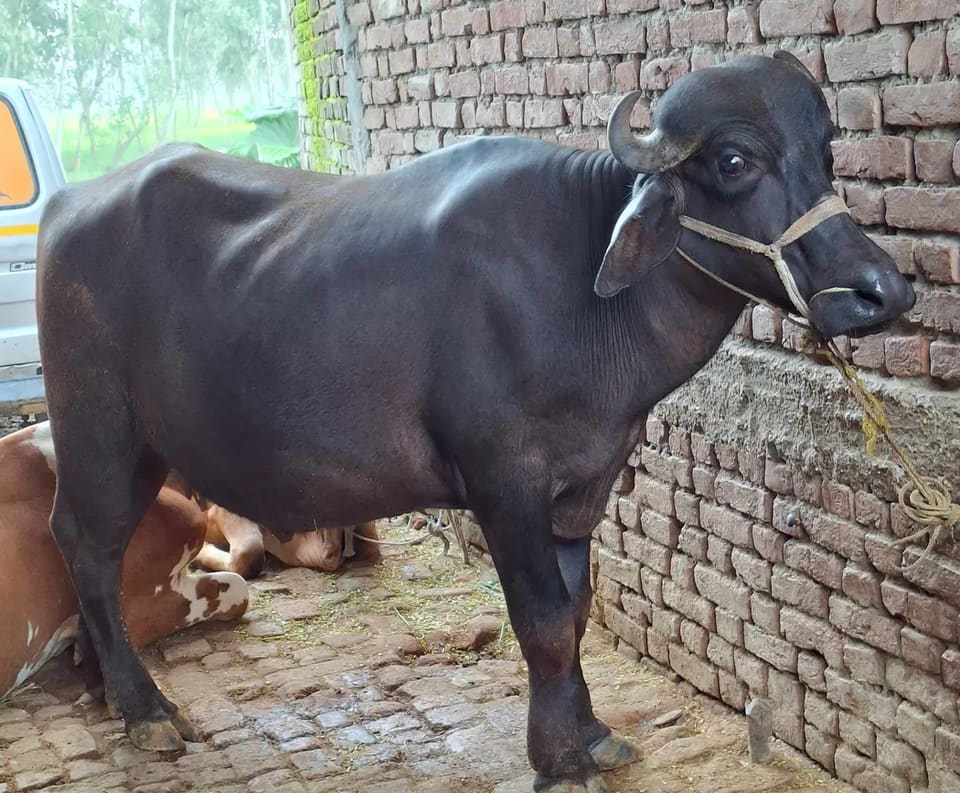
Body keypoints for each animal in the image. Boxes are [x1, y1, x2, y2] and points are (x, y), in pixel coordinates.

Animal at [36, 54, 914, 792]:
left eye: (826, 152)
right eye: (735, 161)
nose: (880, 290)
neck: (583, 292)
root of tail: (69, 207)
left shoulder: (582, 485)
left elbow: (576, 608)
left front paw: (590, 734)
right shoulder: (504, 484)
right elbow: (544, 620)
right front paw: (560, 760)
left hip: (142, 448)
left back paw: (104, 685)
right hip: (98, 432)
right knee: (85, 544)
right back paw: (146, 709)